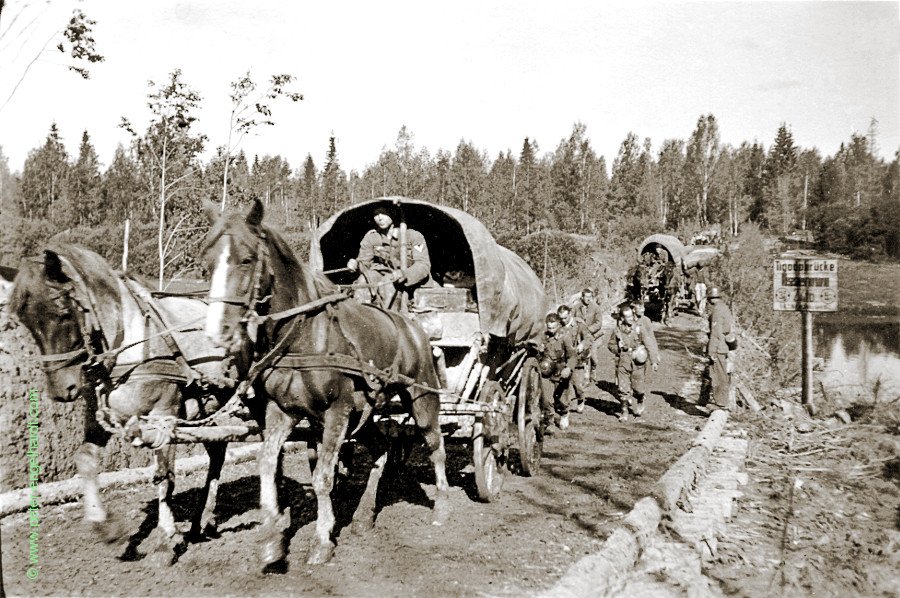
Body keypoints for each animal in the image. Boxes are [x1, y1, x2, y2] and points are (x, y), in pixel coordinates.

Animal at [5, 244, 243, 564]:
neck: (126, 347)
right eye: (26, 322)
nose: (61, 391)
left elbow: (164, 475)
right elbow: (85, 461)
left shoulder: (164, 414)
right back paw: (202, 522)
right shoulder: (98, 417)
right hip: (204, 409)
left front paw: (166, 539)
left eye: (64, 313)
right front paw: (104, 526)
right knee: (218, 450)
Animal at [200, 199, 446, 568]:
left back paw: (442, 506)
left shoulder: (336, 412)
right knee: (382, 448)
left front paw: (322, 540)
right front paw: (272, 540)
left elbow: (322, 478)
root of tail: (412, 325)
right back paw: (364, 516)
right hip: (365, 412)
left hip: (421, 398)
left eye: (246, 259)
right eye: (208, 260)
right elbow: (267, 466)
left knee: (435, 445)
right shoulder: (281, 412)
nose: (217, 333)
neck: (306, 336)